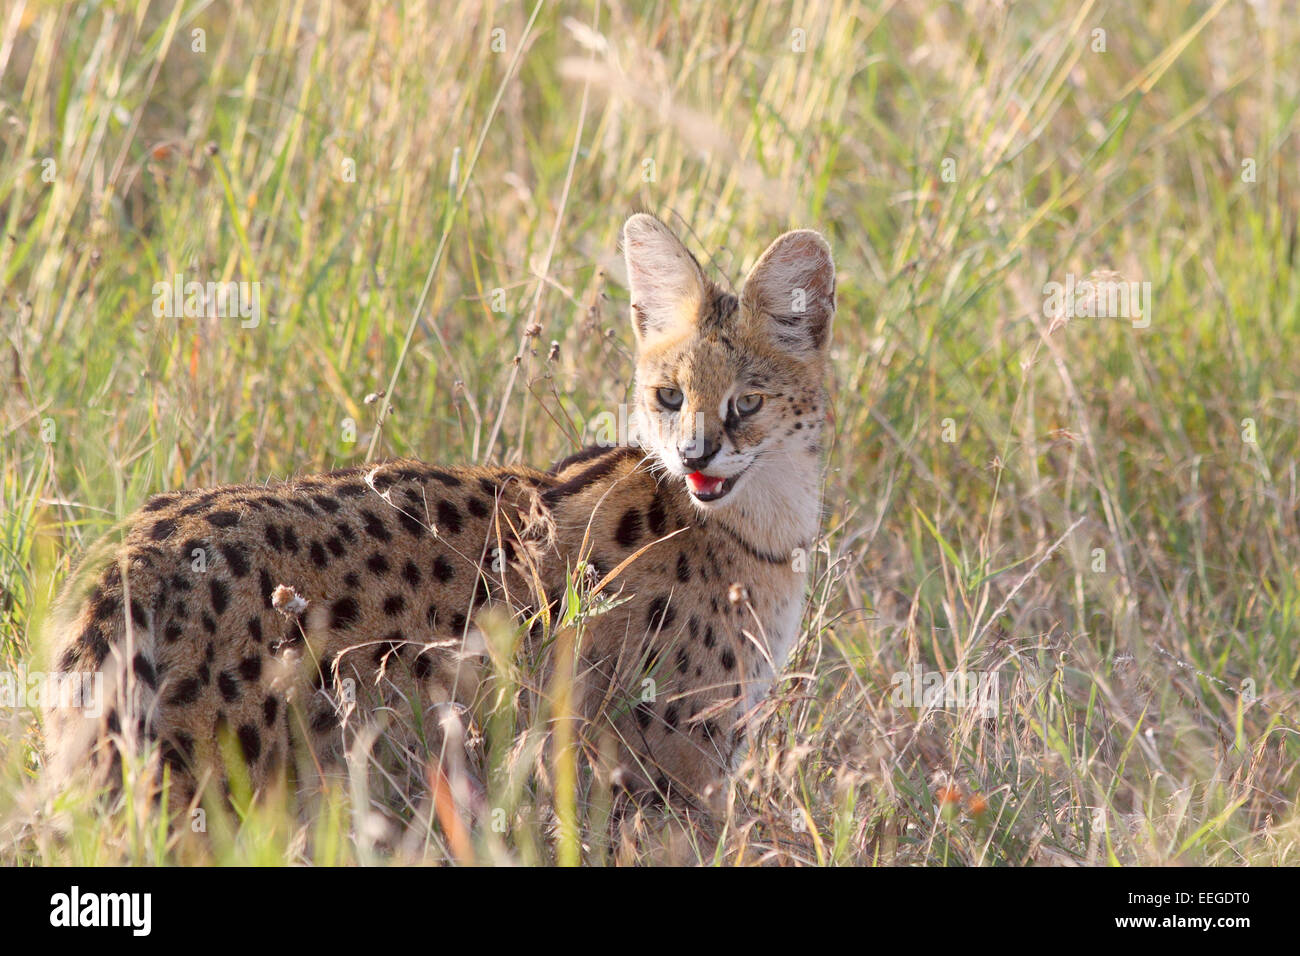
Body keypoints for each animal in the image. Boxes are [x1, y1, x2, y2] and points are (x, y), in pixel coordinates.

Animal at [43, 214, 832, 816]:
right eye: (670, 396)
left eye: (747, 403)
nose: (696, 454)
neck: (761, 533)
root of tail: (134, 551)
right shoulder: (667, 774)